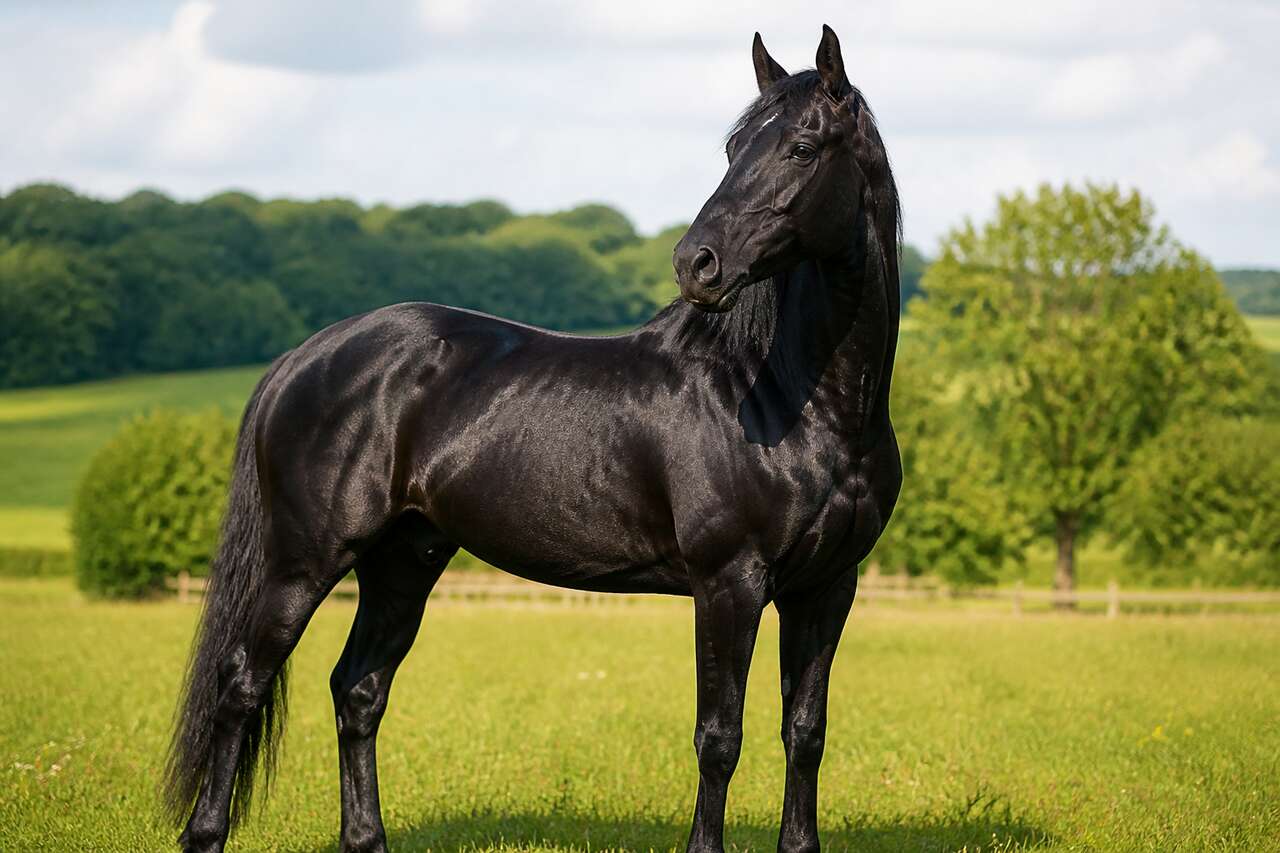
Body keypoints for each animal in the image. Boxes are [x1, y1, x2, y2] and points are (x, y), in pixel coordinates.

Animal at [166, 24, 902, 853]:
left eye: (803, 147)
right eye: (734, 147)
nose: (697, 262)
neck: (791, 398)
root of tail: (305, 355)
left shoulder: (827, 587)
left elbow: (804, 730)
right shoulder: (729, 581)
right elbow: (720, 737)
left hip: (403, 561)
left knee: (358, 690)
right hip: (304, 560)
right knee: (241, 683)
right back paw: (206, 832)